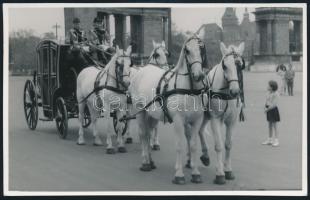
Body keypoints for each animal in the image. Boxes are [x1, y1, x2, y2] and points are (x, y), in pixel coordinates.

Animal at [130, 31, 207, 184]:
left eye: (201, 49)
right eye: (187, 50)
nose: (199, 75)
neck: (189, 90)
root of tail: (142, 70)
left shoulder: (196, 120)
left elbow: (194, 145)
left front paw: (195, 173)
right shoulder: (178, 121)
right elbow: (179, 145)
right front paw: (179, 174)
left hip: (151, 114)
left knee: (149, 133)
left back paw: (151, 161)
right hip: (140, 110)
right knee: (143, 134)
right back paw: (145, 162)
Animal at [199, 41, 245, 184]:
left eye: (240, 65)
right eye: (225, 65)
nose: (235, 91)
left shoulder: (232, 121)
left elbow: (228, 145)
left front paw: (228, 170)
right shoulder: (215, 119)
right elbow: (219, 145)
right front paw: (219, 173)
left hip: (205, 117)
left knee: (200, 131)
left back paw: (205, 156)